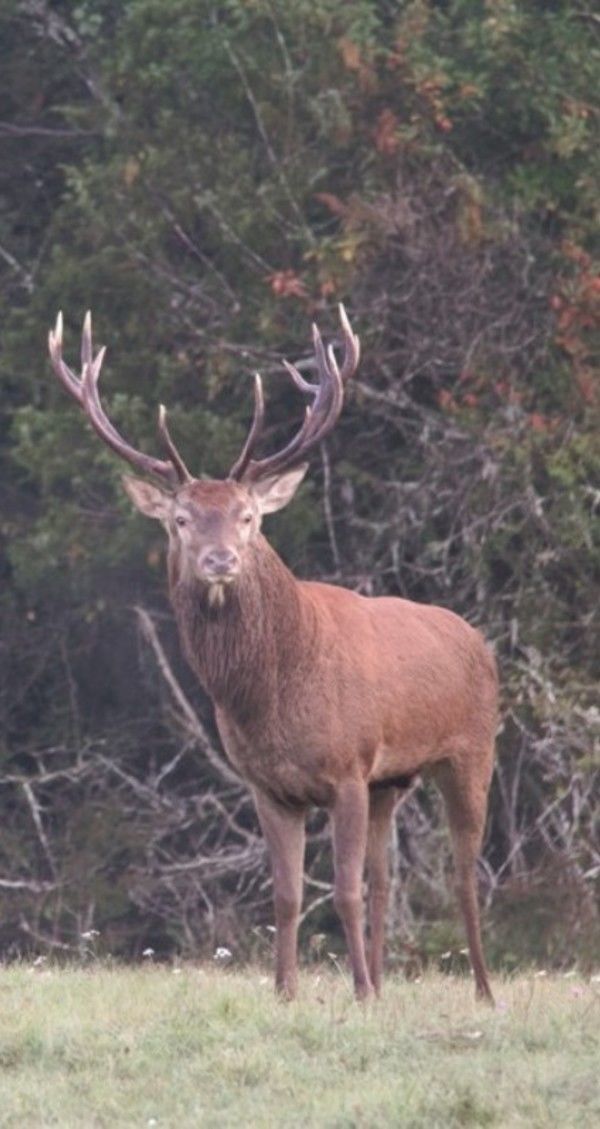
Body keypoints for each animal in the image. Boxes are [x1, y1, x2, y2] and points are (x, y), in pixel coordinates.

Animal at [48, 306, 498, 1003]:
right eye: (180, 519)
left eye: (249, 516)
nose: (219, 561)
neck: (272, 696)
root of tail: (477, 639)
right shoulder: (267, 785)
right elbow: (287, 896)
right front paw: (286, 991)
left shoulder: (347, 767)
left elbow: (340, 892)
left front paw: (357, 993)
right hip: (392, 781)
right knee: (386, 879)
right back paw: (388, 981)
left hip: (473, 749)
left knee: (462, 873)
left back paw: (480, 990)